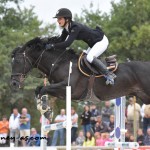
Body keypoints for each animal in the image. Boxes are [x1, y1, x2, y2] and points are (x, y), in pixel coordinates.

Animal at [11, 37, 150, 104]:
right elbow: (39, 89)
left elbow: (43, 89)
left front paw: (45, 110)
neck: (60, 64)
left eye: (17, 61)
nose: (13, 83)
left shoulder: (68, 89)